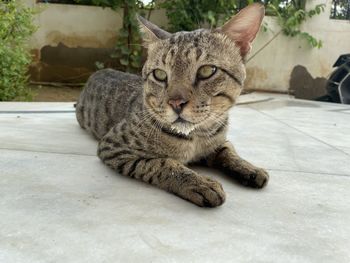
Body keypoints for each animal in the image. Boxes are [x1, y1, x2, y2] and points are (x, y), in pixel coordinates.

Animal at [76, 3, 268, 207]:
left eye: (207, 70)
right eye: (159, 74)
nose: (176, 103)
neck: (197, 136)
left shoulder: (218, 141)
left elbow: (228, 151)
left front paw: (249, 168)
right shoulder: (114, 145)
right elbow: (161, 163)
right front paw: (200, 182)